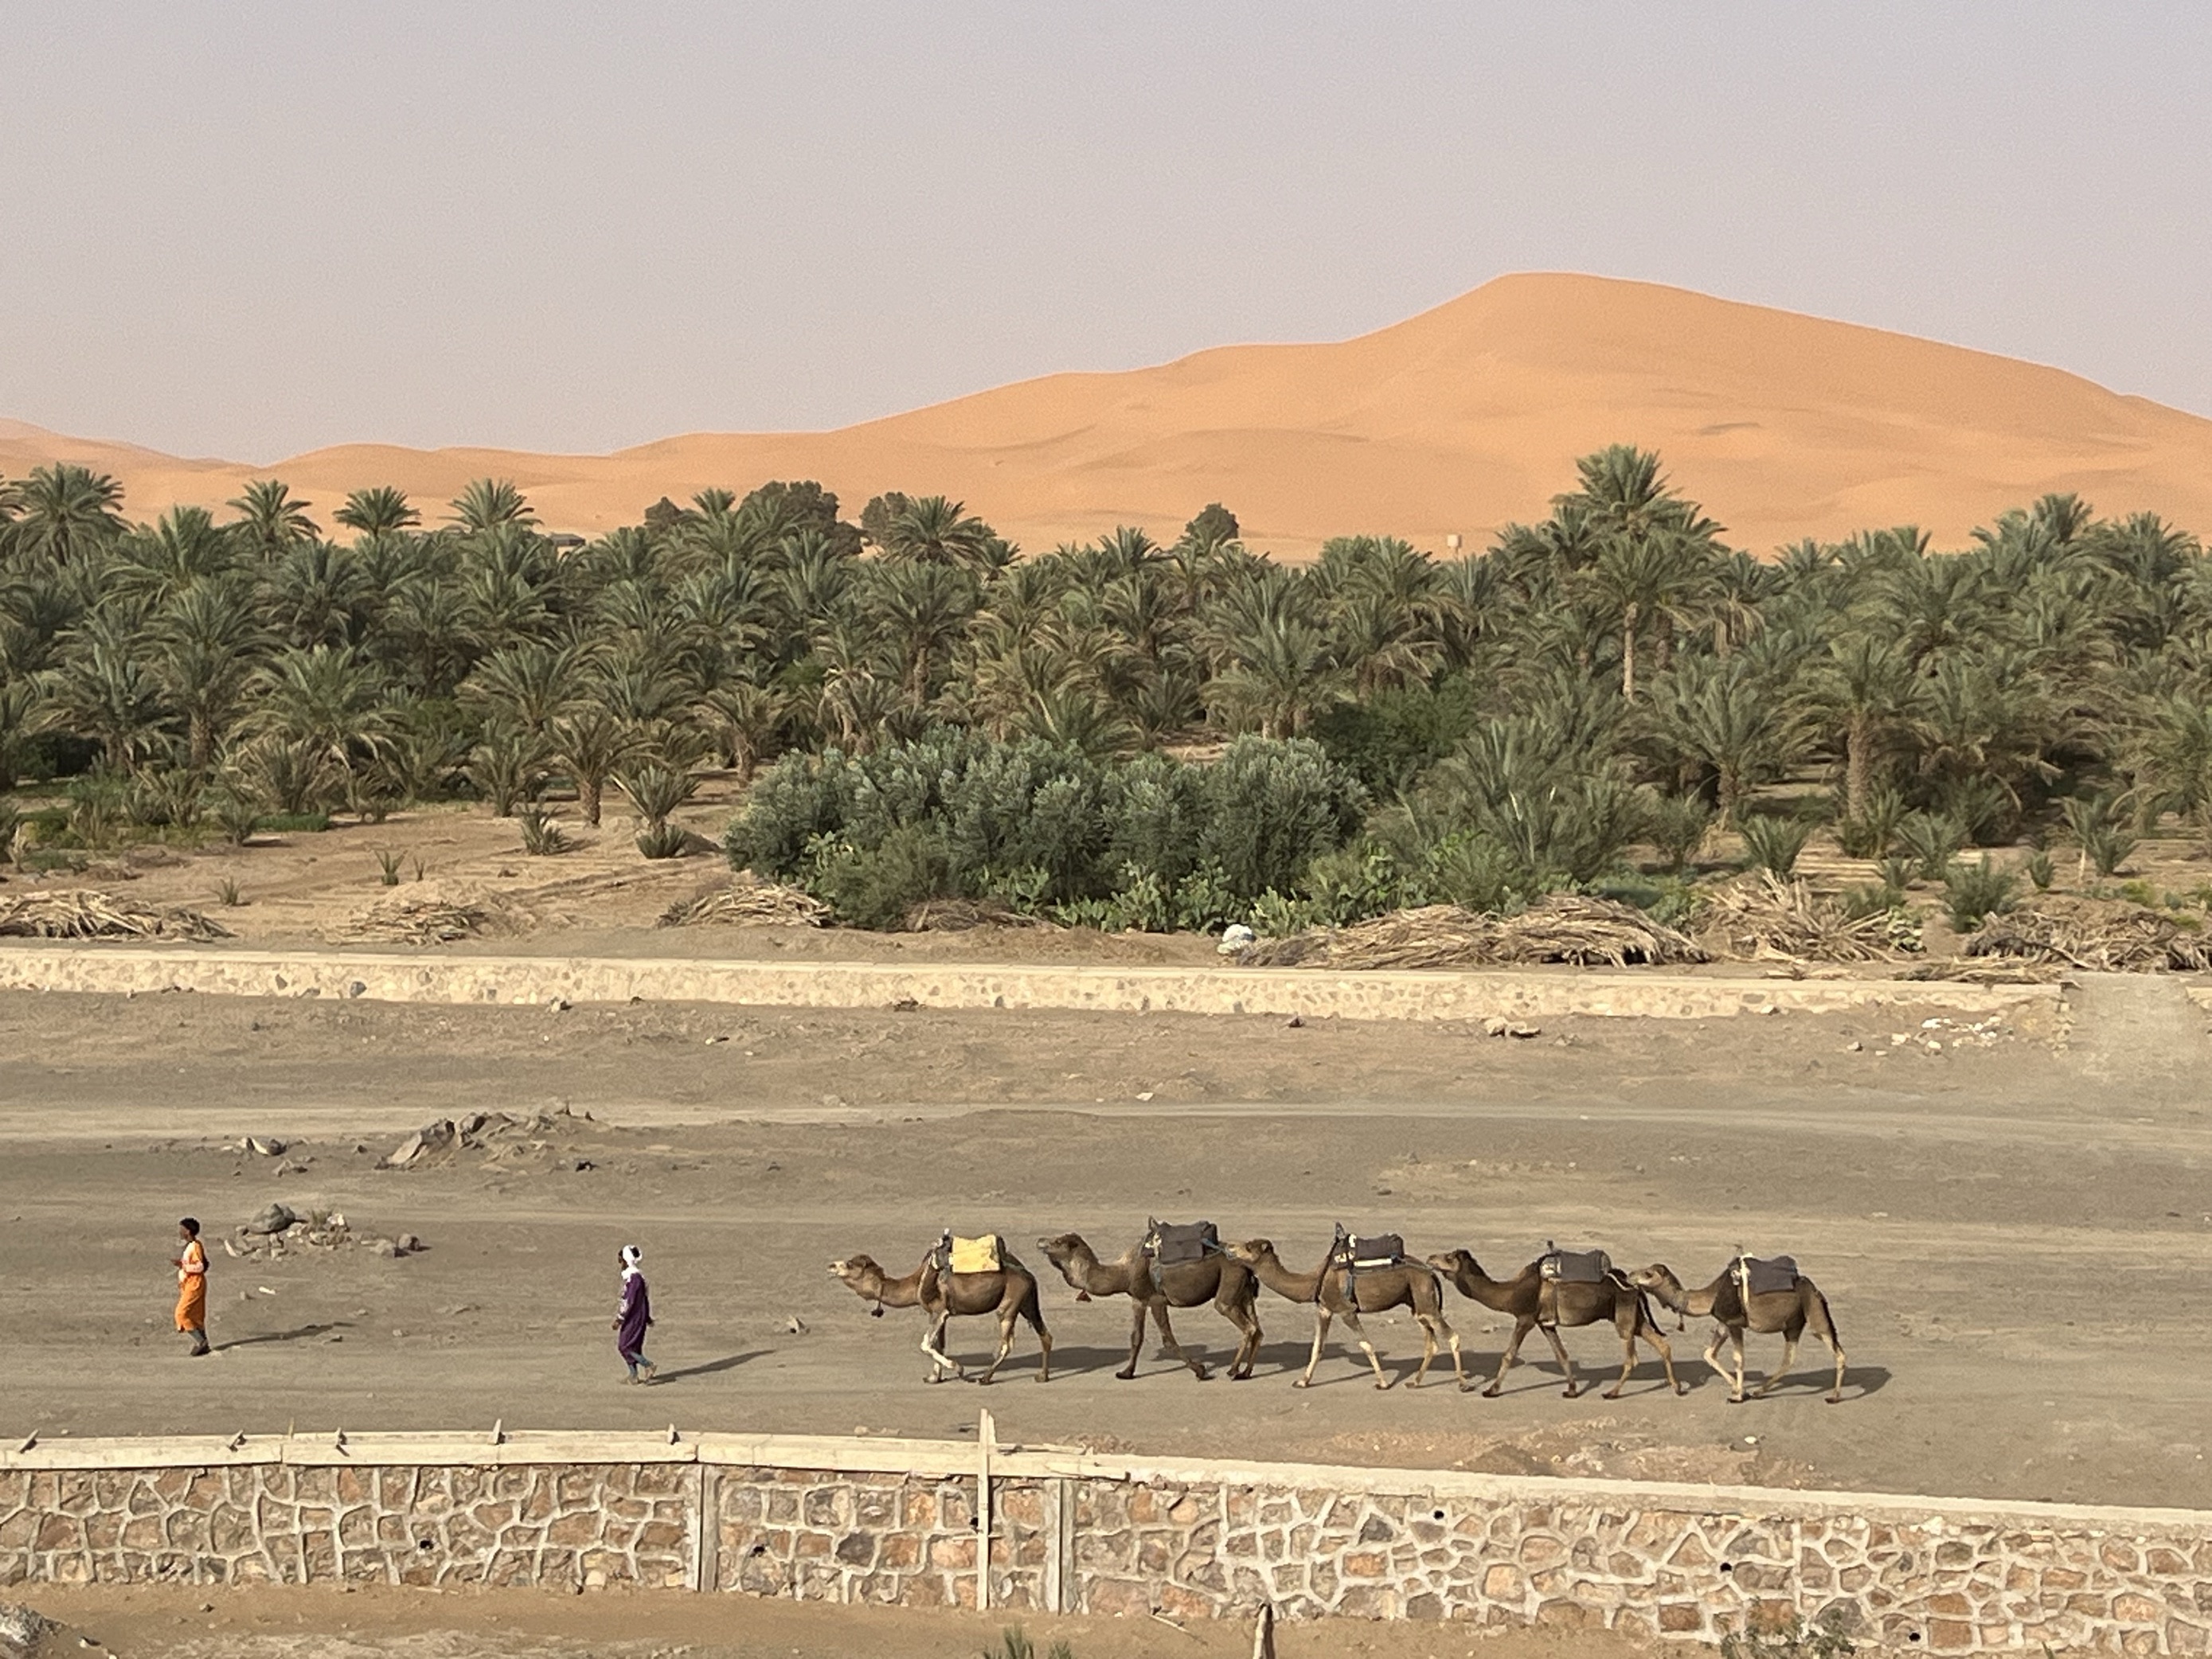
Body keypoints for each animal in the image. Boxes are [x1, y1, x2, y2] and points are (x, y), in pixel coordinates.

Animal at [831, 1247, 1053, 1389]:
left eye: (849, 1264)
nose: (831, 1265)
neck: (917, 1282)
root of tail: (1028, 1275)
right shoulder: (940, 1314)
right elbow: (938, 1344)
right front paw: (933, 1378)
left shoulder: (939, 1311)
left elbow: (925, 1344)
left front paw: (958, 1369)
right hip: (1026, 1302)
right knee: (1045, 1335)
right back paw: (1042, 1376)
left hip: (1010, 1301)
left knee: (1007, 1343)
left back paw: (985, 1378)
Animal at [1035, 1229, 1265, 1380]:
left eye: (1057, 1242)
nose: (1039, 1241)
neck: (1125, 1272)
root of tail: (1245, 1264)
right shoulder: (1138, 1300)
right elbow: (1136, 1337)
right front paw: (1126, 1373)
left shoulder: (1156, 1300)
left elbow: (1168, 1340)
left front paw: (1200, 1370)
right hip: (1244, 1293)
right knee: (1258, 1329)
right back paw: (1246, 1372)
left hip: (1229, 1282)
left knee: (1243, 1322)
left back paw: (1233, 1371)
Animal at [1221, 1239, 1460, 1389]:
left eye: (1248, 1246)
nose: (1229, 1246)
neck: (1314, 1280)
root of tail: (1430, 1273)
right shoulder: (1325, 1309)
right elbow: (1317, 1347)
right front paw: (1302, 1382)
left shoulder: (1346, 1310)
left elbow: (1366, 1345)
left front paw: (1383, 1383)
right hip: (1416, 1303)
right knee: (1431, 1342)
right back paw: (1415, 1382)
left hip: (1423, 1296)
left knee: (1452, 1335)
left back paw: (1462, 1384)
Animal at [1425, 1256, 1681, 1398]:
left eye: (1449, 1258)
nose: (1430, 1259)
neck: (1511, 1293)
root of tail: (1636, 1288)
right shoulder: (1544, 1324)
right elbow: (1562, 1355)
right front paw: (1572, 1390)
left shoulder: (1525, 1318)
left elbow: (1508, 1355)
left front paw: (1491, 1391)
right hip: (1636, 1318)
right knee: (1663, 1345)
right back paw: (1677, 1387)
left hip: (1623, 1315)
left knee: (1632, 1358)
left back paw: (1612, 1393)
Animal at [1628, 1265, 1849, 1407]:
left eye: (1648, 1273)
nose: (1630, 1275)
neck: (1711, 1296)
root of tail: (1815, 1289)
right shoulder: (1724, 1324)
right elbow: (1709, 1354)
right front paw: (1738, 1389)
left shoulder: (1735, 1323)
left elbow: (1738, 1358)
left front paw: (1737, 1396)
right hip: (1793, 1325)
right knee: (1790, 1358)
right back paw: (1759, 1392)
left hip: (1813, 1313)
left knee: (1837, 1351)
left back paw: (1834, 1397)